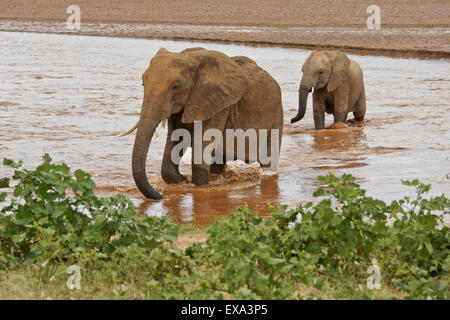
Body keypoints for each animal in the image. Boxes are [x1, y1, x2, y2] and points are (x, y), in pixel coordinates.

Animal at [122, 47, 284, 199]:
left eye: (175, 86)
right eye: (143, 83)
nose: (161, 195)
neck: (190, 59)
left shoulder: (218, 104)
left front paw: (196, 186)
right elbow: (177, 140)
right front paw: (183, 181)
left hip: (276, 115)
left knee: (269, 160)